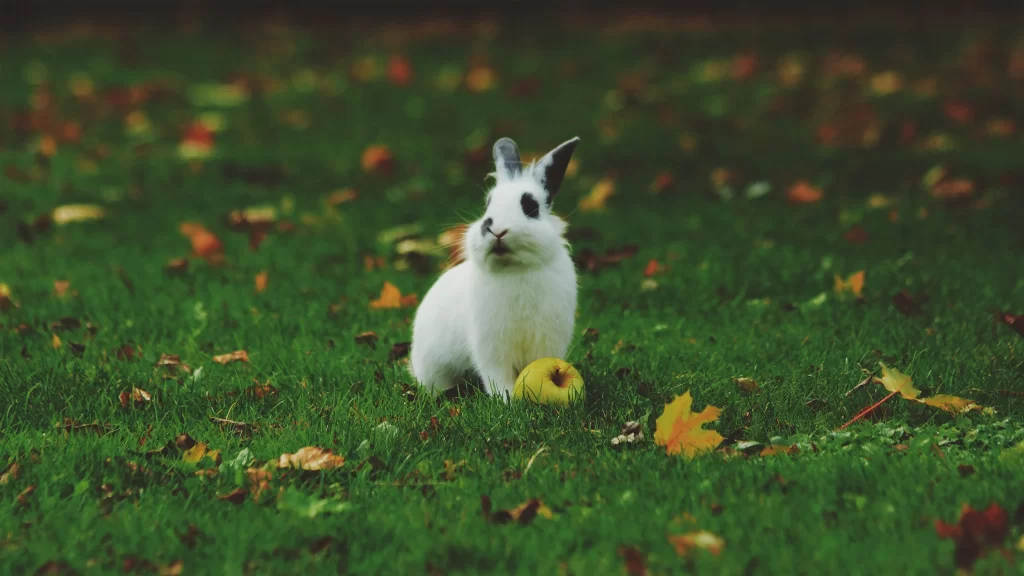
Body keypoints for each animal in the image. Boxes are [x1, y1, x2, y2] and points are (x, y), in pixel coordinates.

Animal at [410, 136, 580, 399]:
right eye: (487, 205)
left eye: (531, 206)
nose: (496, 229)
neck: (516, 269)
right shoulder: (491, 347)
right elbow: (497, 376)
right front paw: (507, 399)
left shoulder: (547, 341)